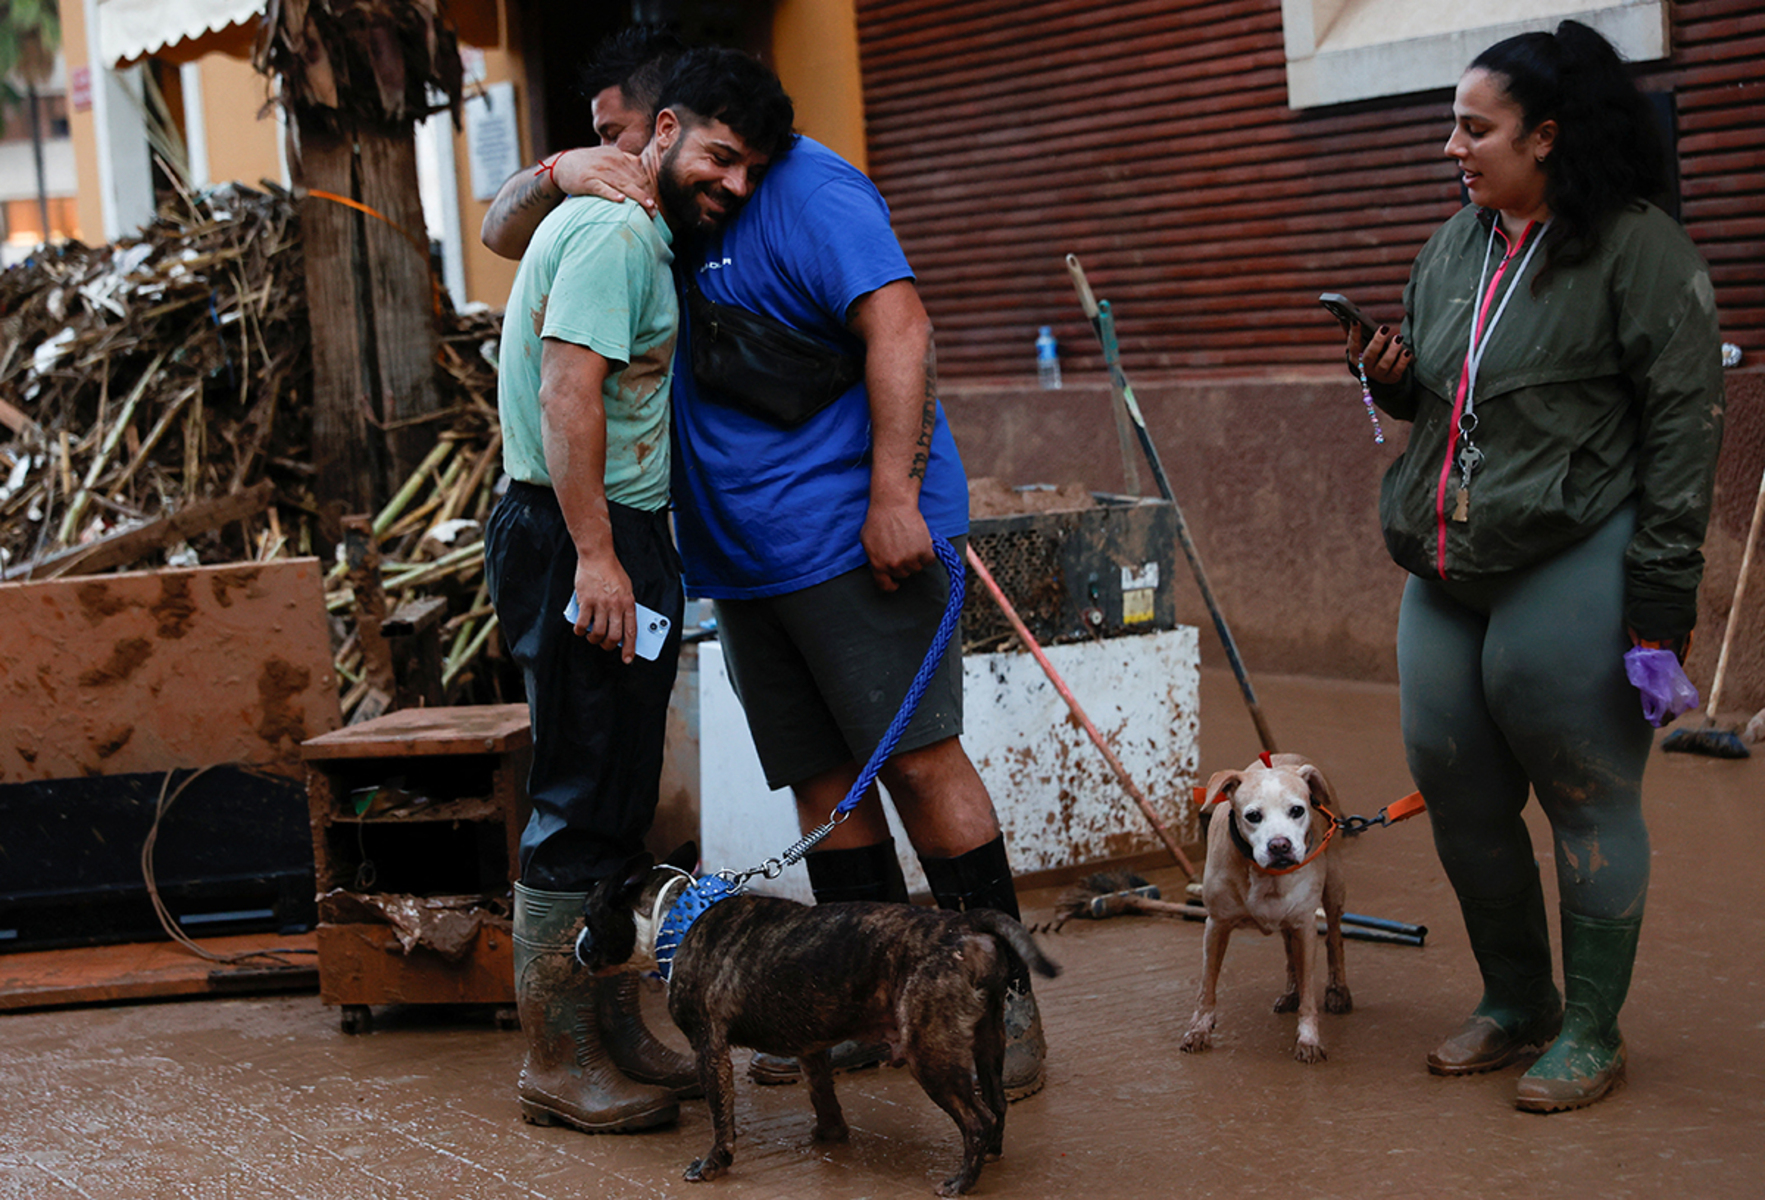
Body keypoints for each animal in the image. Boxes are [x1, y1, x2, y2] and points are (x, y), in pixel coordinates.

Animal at [575, 843, 1059, 1192]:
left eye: (588, 917)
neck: (675, 915)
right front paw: (830, 1135)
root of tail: (962, 926)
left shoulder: (708, 1047)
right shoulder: (810, 1048)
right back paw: (991, 1154)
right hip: (987, 1042)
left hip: (931, 1054)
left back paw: (962, 1181)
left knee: (976, 1119)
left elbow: (720, 1116)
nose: (578, 946)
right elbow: (822, 1093)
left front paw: (714, 1164)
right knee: (995, 1105)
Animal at [1179, 755, 1355, 1065]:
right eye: (1253, 816)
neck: (1265, 874)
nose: (1280, 845)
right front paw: (1199, 1029)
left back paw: (1337, 990)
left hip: (1334, 888)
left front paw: (1308, 1039)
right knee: (1289, 952)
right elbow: (1207, 985)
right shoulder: (1217, 925)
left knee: (1334, 938)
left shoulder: (1305, 925)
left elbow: (1309, 995)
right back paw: (1291, 992)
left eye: (1297, 810)